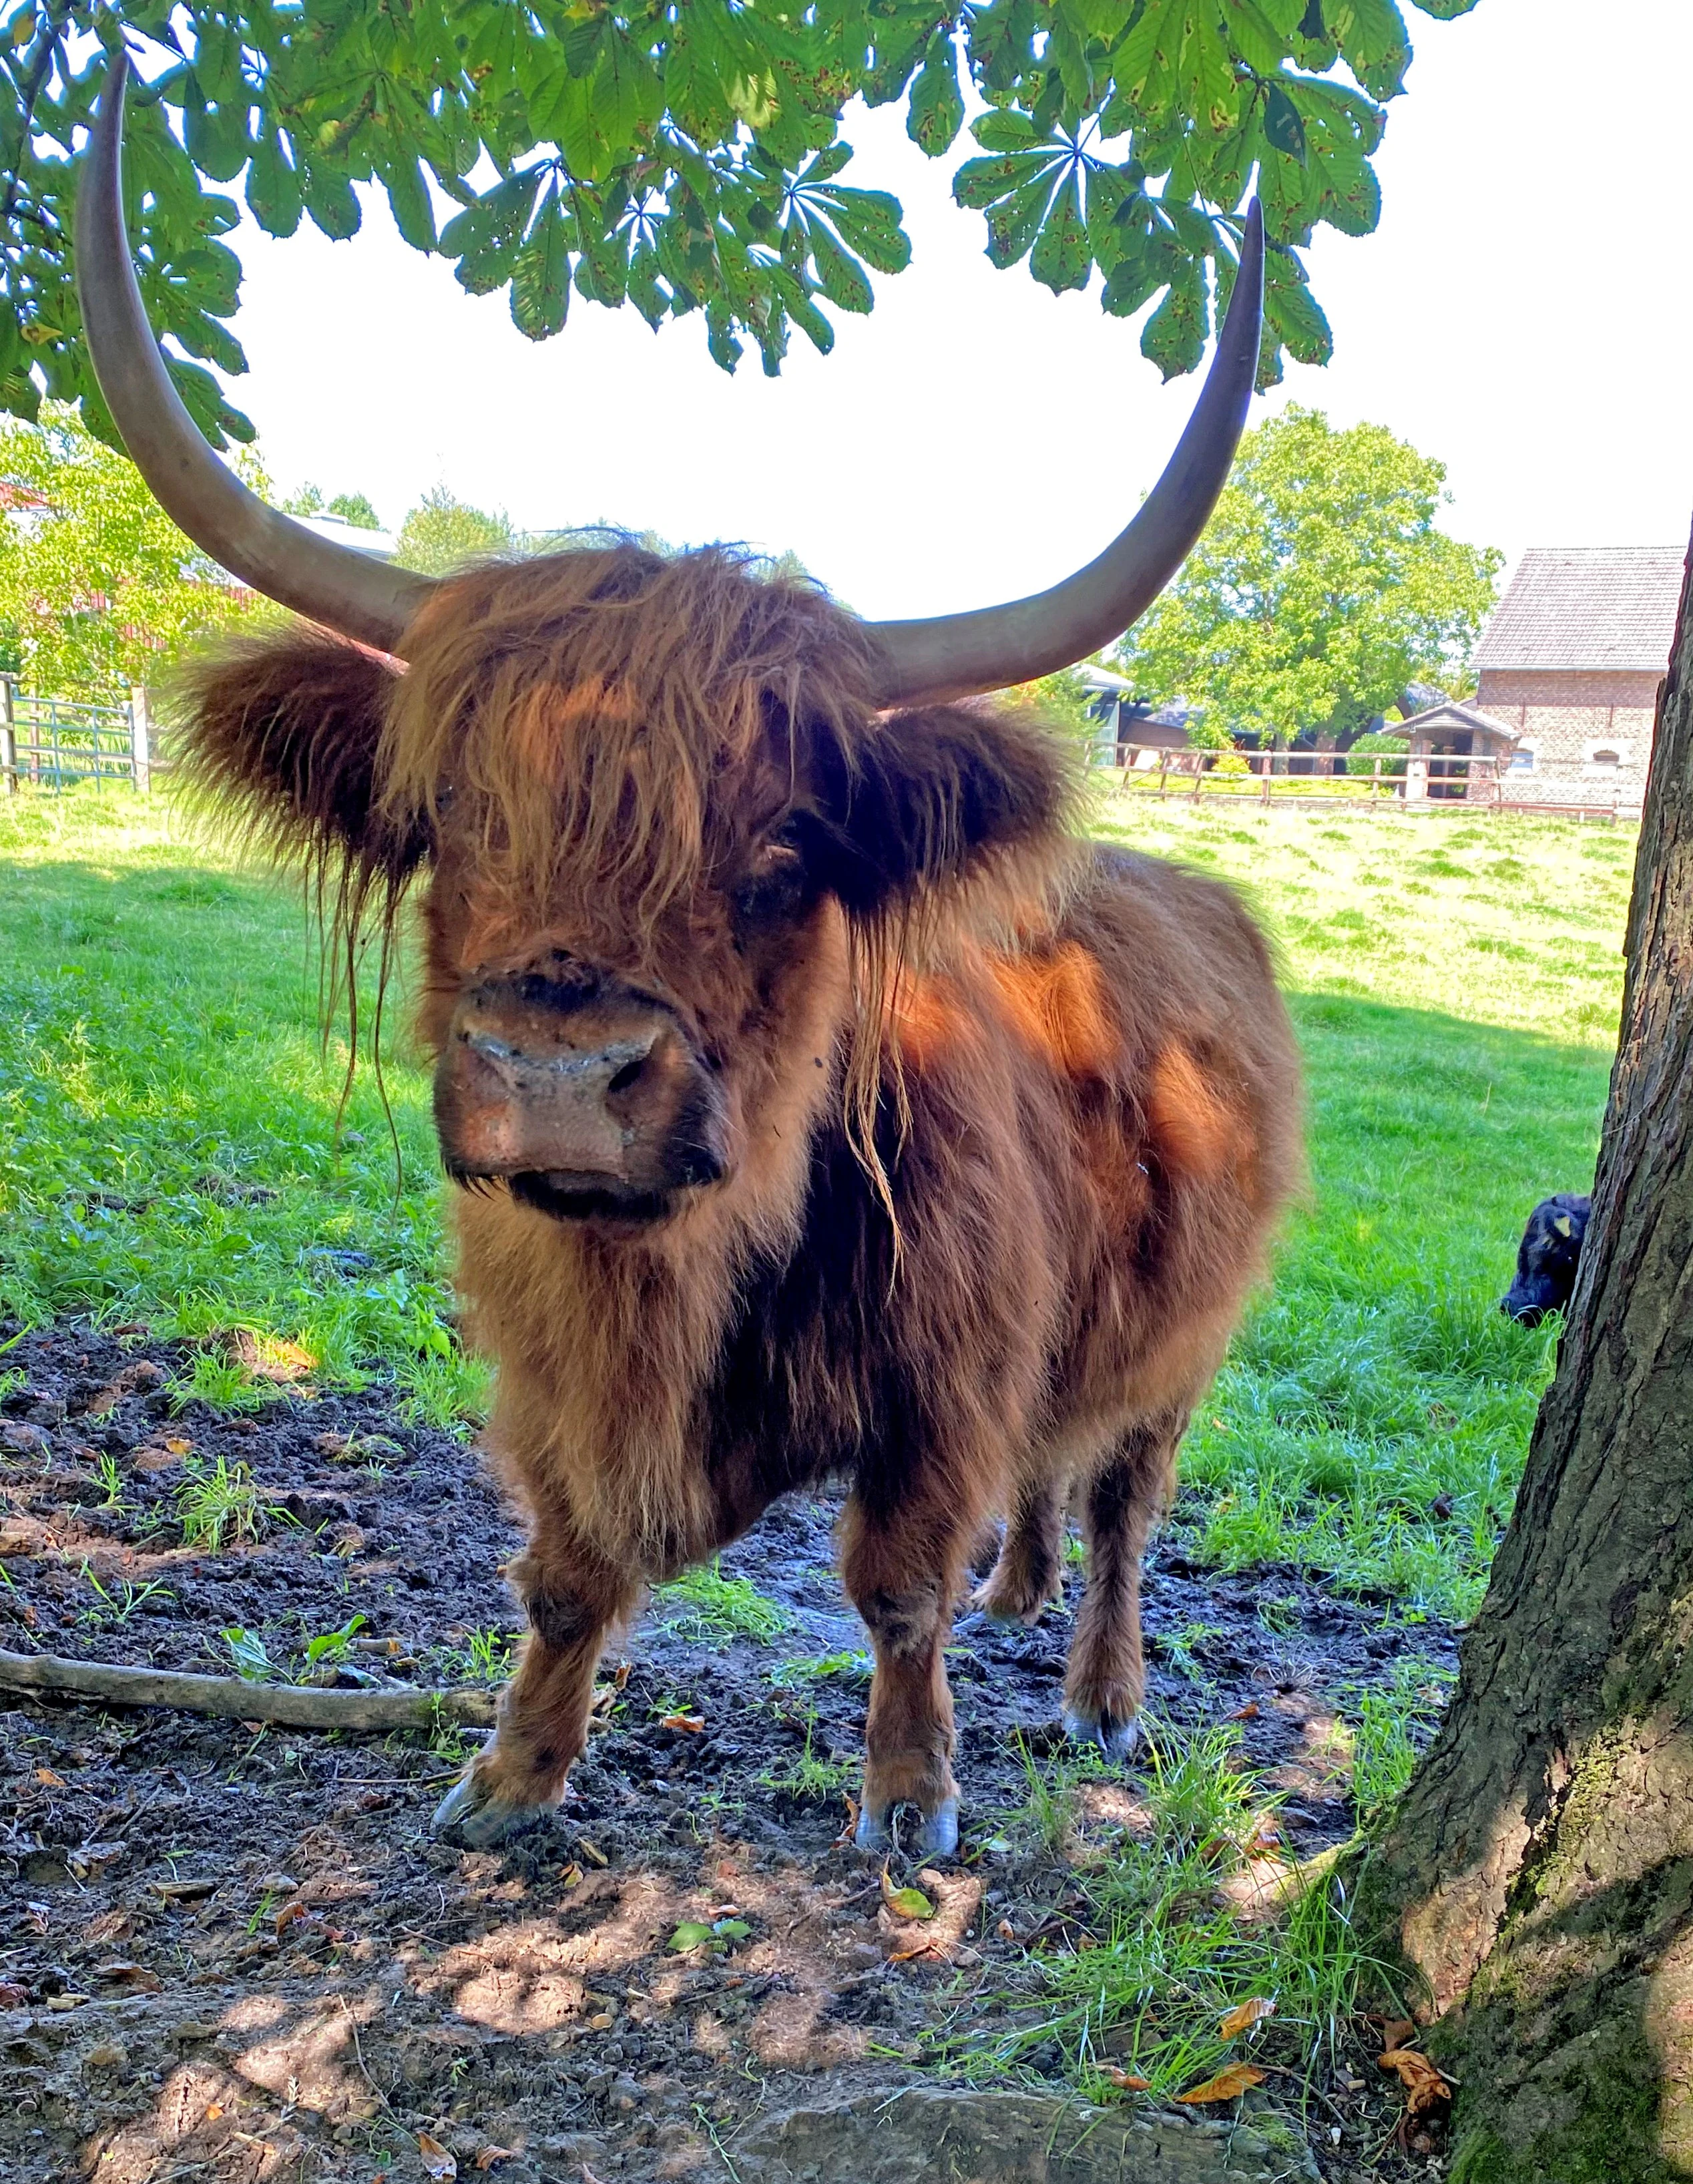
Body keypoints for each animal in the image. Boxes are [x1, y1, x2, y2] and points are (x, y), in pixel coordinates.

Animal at [79, 57, 1302, 1855]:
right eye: (443, 816)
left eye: (785, 847)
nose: (560, 1077)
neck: (669, 1289)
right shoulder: (546, 1370)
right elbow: (564, 1574)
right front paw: (508, 1775)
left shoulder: (941, 1384)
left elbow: (892, 1586)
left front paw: (909, 1798)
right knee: (1053, 1484)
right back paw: (1020, 1598)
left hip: (1186, 1338)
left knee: (1126, 1504)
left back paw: (1100, 1689)